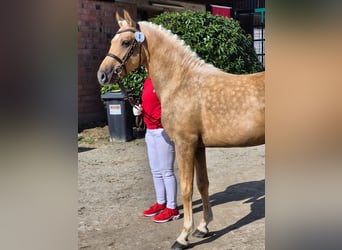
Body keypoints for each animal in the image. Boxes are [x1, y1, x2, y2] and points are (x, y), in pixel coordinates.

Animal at [96, 9, 264, 250]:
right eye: (111, 41)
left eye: (126, 42)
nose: (102, 75)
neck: (182, 82)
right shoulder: (199, 146)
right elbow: (203, 184)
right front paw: (203, 227)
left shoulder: (185, 144)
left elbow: (186, 189)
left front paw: (183, 236)